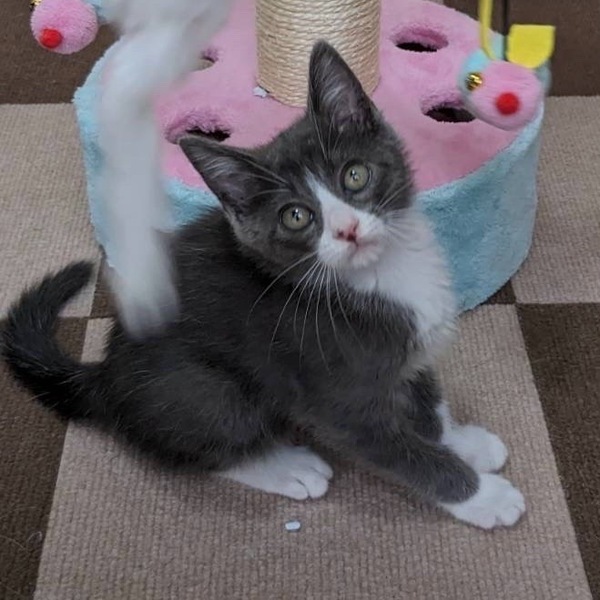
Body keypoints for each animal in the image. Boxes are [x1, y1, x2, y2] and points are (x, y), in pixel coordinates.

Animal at [2, 41, 524, 530]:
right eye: (296, 216)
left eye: (355, 175)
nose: (348, 231)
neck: (383, 274)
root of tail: (105, 375)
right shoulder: (338, 395)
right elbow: (405, 453)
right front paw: (483, 496)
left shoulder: (410, 351)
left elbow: (426, 401)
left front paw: (462, 440)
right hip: (210, 391)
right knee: (196, 449)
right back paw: (287, 467)